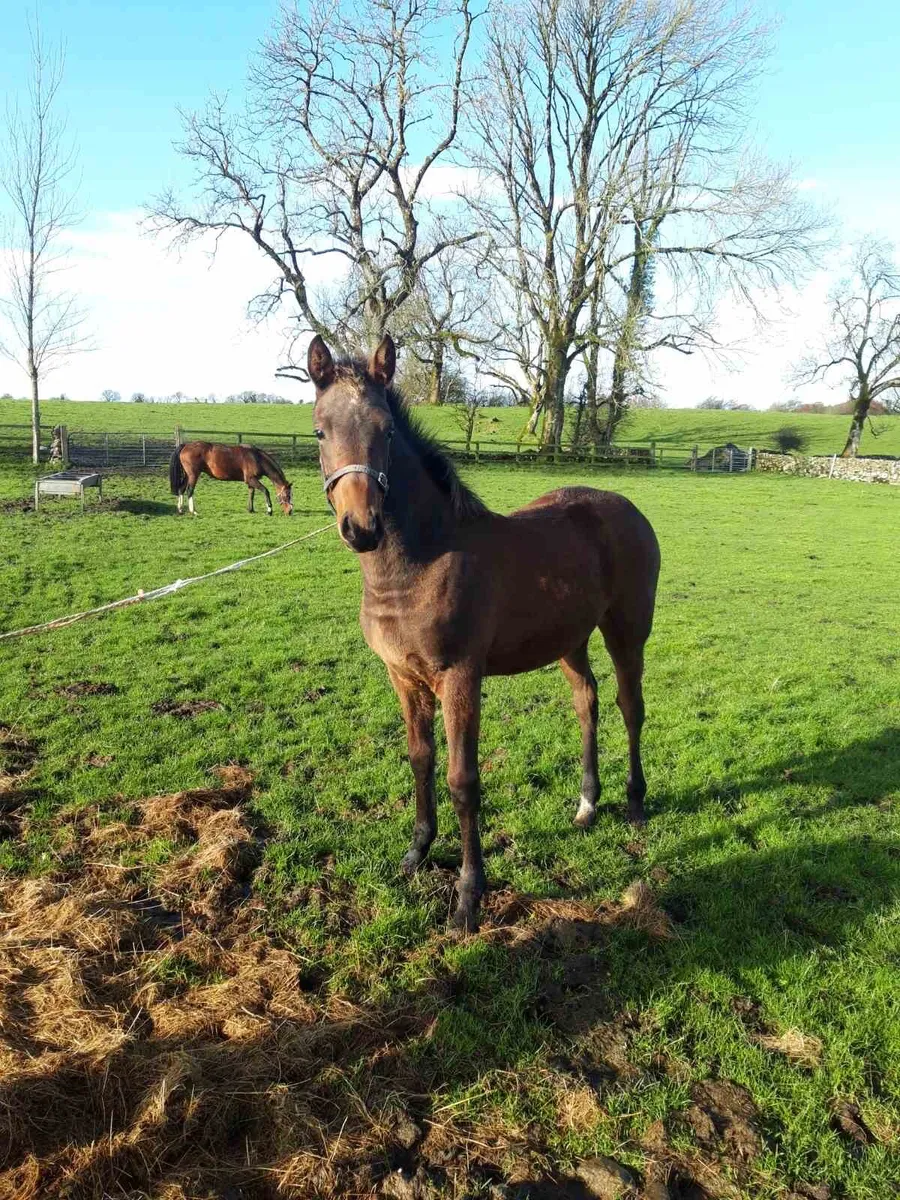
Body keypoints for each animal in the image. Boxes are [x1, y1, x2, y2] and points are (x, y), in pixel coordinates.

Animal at [309, 333, 661, 931]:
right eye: (319, 430)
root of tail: (627, 506)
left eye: (386, 430)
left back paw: (635, 803)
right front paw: (416, 853)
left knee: (629, 706)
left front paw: (469, 896)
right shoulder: (403, 677)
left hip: (626, 630)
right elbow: (420, 760)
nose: (361, 528)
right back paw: (587, 804)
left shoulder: (460, 677)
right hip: (570, 638)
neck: (419, 563)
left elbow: (462, 781)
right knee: (586, 702)